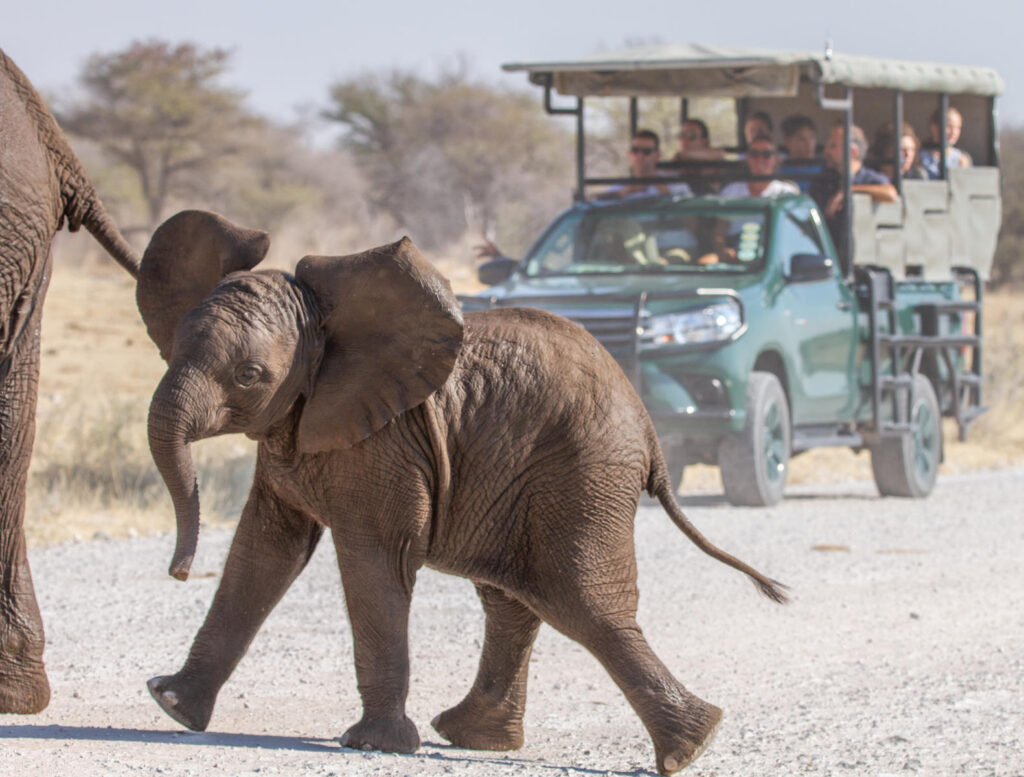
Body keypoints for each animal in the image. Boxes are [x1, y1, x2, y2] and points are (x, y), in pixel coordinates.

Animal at [130, 209, 782, 773]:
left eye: (249, 376)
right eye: (174, 348)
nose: (179, 572)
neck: (327, 328)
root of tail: (648, 428)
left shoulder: (386, 442)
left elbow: (375, 560)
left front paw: (372, 745)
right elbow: (264, 551)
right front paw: (172, 705)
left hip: (582, 472)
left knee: (582, 600)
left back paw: (690, 747)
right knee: (516, 599)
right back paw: (478, 737)